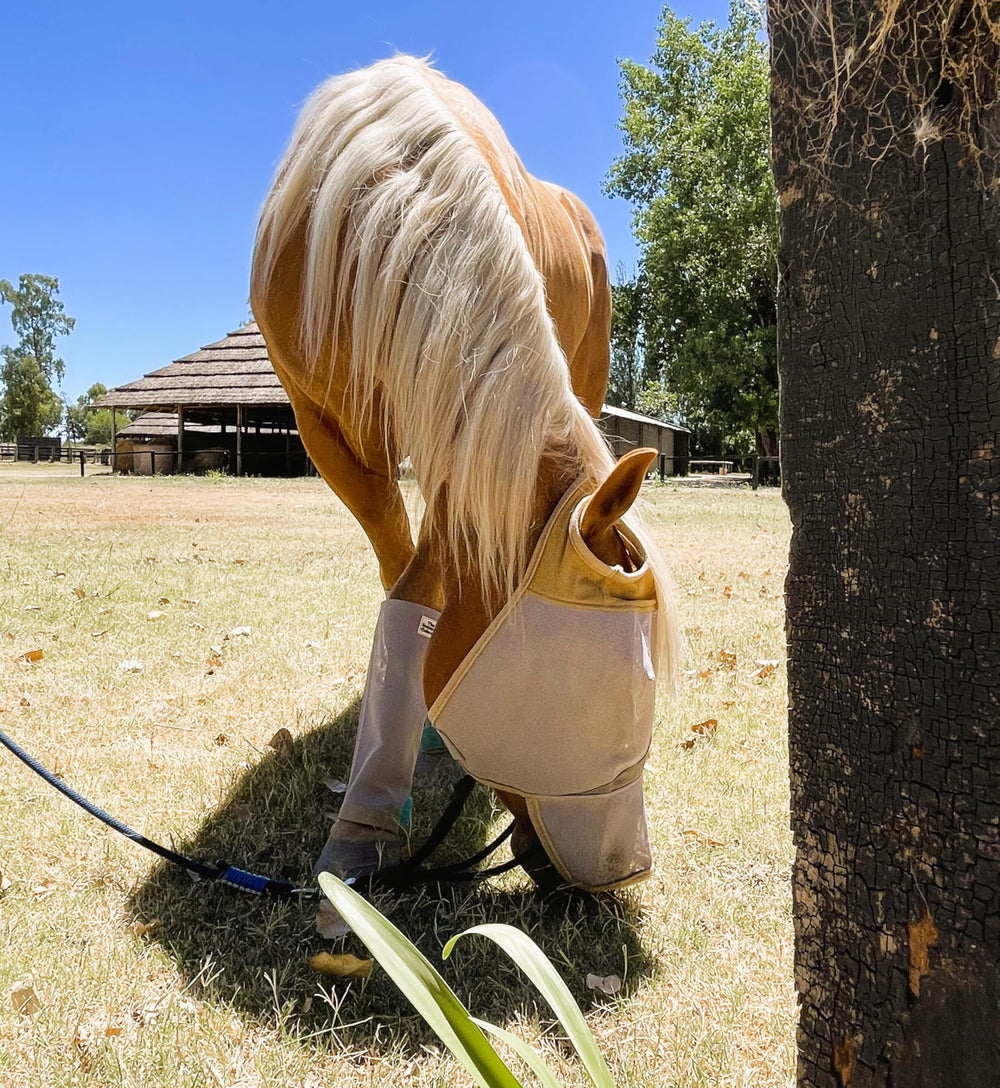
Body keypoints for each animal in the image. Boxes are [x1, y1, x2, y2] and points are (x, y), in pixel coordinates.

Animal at [251, 55, 679, 891]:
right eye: (589, 696)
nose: (624, 869)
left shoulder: (468, 433)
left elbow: (430, 575)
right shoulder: (329, 431)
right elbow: (406, 583)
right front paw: (369, 814)